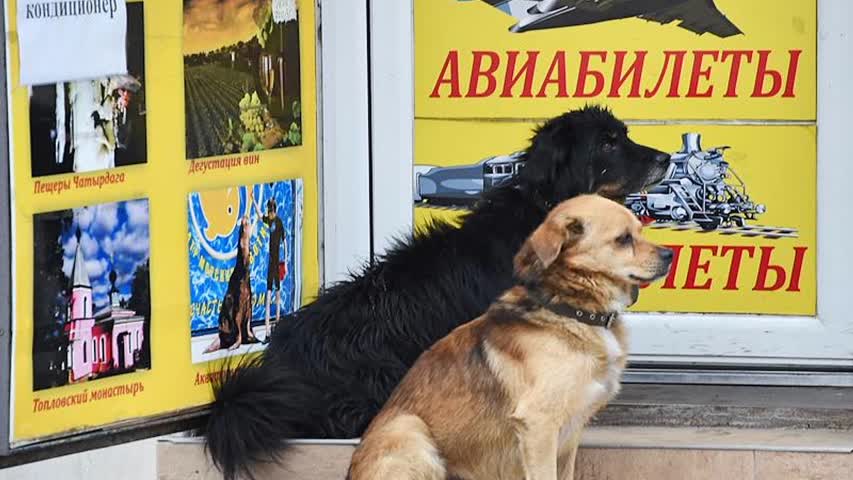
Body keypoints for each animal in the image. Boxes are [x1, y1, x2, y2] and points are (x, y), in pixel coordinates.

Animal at [346, 194, 672, 480]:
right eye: (623, 239)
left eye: (640, 230)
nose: (669, 254)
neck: (571, 308)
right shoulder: (539, 426)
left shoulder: (570, 435)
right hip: (411, 431)